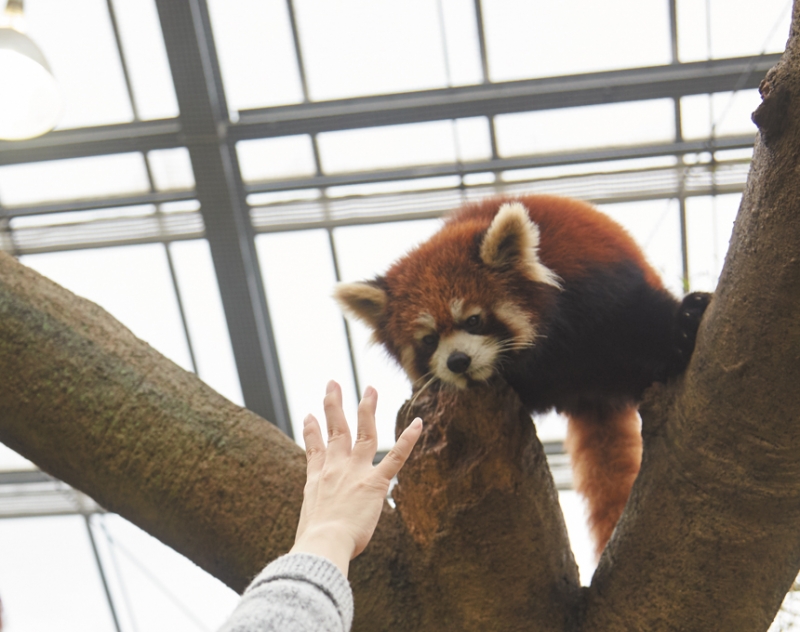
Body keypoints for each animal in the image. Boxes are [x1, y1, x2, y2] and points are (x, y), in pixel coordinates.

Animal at [334, 194, 708, 556]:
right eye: (428, 340)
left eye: (473, 320)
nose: (458, 361)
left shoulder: (598, 292)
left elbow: (643, 319)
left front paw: (685, 324)